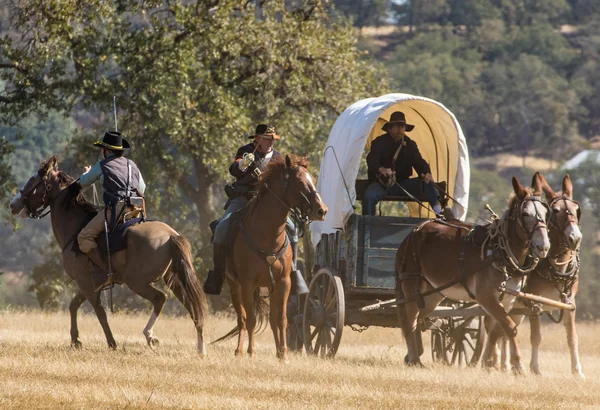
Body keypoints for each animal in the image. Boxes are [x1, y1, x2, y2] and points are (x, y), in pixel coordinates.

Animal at [6, 155, 209, 354]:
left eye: (33, 181)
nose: (12, 205)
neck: (75, 227)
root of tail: (171, 236)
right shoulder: (89, 284)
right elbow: (74, 306)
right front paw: (75, 340)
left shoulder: (86, 283)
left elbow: (99, 312)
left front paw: (111, 343)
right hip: (173, 279)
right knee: (192, 306)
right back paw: (200, 348)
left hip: (137, 282)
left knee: (161, 299)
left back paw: (150, 335)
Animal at [216, 155, 326, 362]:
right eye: (300, 182)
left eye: (313, 179)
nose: (322, 210)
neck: (268, 235)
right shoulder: (247, 283)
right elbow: (251, 319)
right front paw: (251, 352)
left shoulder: (284, 282)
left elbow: (281, 319)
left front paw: (283, 354)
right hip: (234, 284)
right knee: (242, 317)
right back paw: (240, 350)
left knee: (271, 319)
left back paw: (277, 351)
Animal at [396, 172, 552, 372]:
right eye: (525, 214)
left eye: (546, 213)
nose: (543, 247)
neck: (500, 251)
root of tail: (413, 232)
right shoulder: (486, 297)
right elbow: (510, 327)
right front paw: (517, 366)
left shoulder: (508, 300)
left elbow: (497, 331)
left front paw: (489, 364)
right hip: (410, 286)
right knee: (409, 321)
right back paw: (415, 358)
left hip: (432, 294)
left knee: (420, 319)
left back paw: (412, 357)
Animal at [490, 175, 584, 376]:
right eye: (555, 211)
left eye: (576, 209)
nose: (575, 238)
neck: (556, 266)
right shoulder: (535, 302)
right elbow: (536, 337)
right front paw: (535, 368)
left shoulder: (569, 302)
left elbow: (572, 336)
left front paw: (577, 371)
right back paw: (499, 362)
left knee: (505, 330)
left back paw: (504, 364)